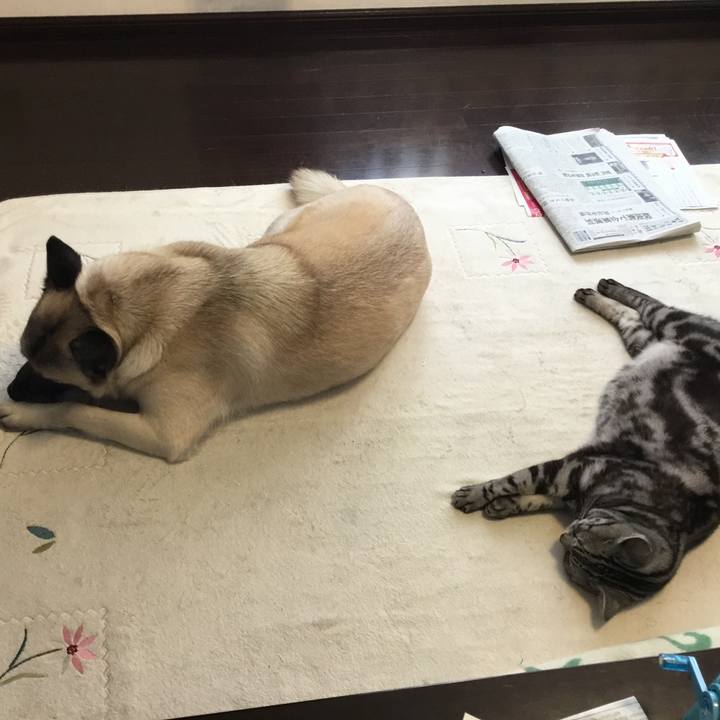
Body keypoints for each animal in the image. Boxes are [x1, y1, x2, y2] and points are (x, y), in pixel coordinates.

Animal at [0, 170, 431, 461]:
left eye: (49, 377)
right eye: (24, 357)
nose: (11, 390)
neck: (138, 305)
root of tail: (391, 195)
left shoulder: (163, 432)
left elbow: (76, 410)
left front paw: (26, 413)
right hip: (276, 233)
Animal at [452, 279, 720, 620]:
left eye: (573, 554)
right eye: (583, 532)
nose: (564, 535)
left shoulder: (570, 482)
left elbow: (534, 497)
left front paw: (503, 505)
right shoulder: (569, 469)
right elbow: (513, 480)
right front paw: (472, 496)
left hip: (645, 342)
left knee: (629, 318)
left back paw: (593, 292)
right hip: (675, 324)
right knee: (648, 304)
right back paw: (602, 287)